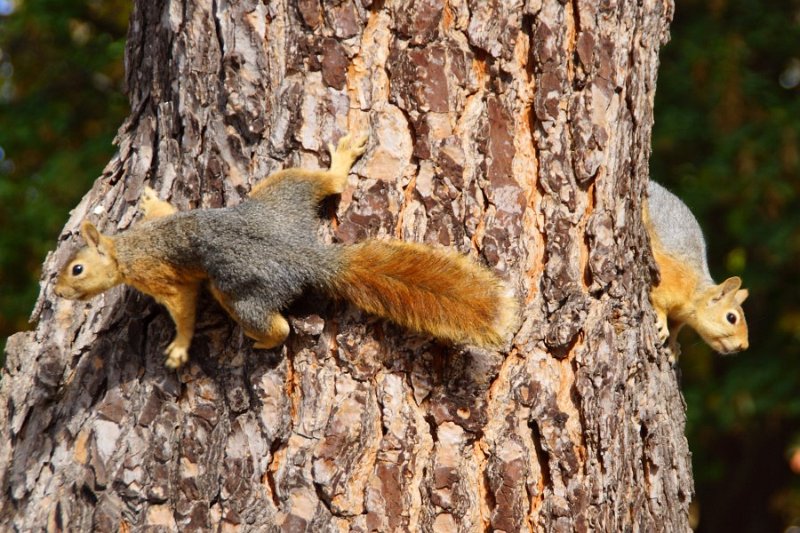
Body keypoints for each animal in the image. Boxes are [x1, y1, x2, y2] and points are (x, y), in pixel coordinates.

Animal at [54, 133, 519, 368]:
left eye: (76, 269)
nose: (57, 292)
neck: (125, 249)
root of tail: (302, 254)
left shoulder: (160, 278)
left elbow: (183, 308)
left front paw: (179, 349)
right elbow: (166, 209)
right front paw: (151, 198)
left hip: (243, 292)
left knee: (278, 327)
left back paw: (261, 341)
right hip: (283, 192)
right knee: (329, 183)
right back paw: (343, 156)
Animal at [644, 180, 749, 357]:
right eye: (731, 318)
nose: (744, 346)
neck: (693, 295)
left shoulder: (680, 317)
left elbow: (675, 328)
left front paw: (673, 346)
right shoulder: (668, 282)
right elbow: (658, 303)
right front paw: (662, 324)